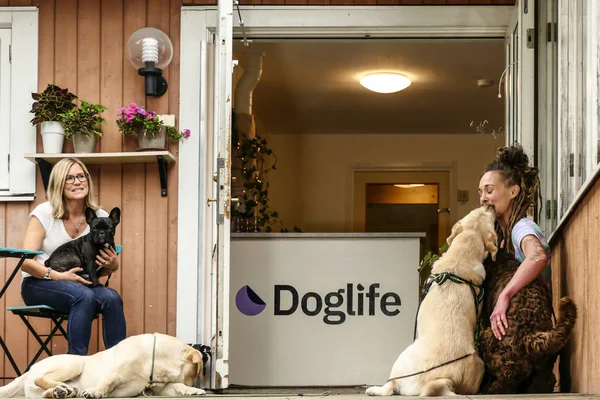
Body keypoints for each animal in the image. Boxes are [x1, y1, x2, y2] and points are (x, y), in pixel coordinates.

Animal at [0, 332, 206, 398]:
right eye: (195, 373)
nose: (194, 383)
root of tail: (28, 371)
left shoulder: (158, 388)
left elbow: (176, 386)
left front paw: (193, 391)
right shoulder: (115, 371)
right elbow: (108, 380)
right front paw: (96, 392)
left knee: (44, 393)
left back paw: (62, 391)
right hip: (75, 362)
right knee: (40, 379)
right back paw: (63, 388)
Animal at [478, 250, 576, 394]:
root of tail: (528, 337)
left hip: (490, 341)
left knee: (504, 381)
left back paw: (488, 390)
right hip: (543, 368)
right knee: (545, 381)